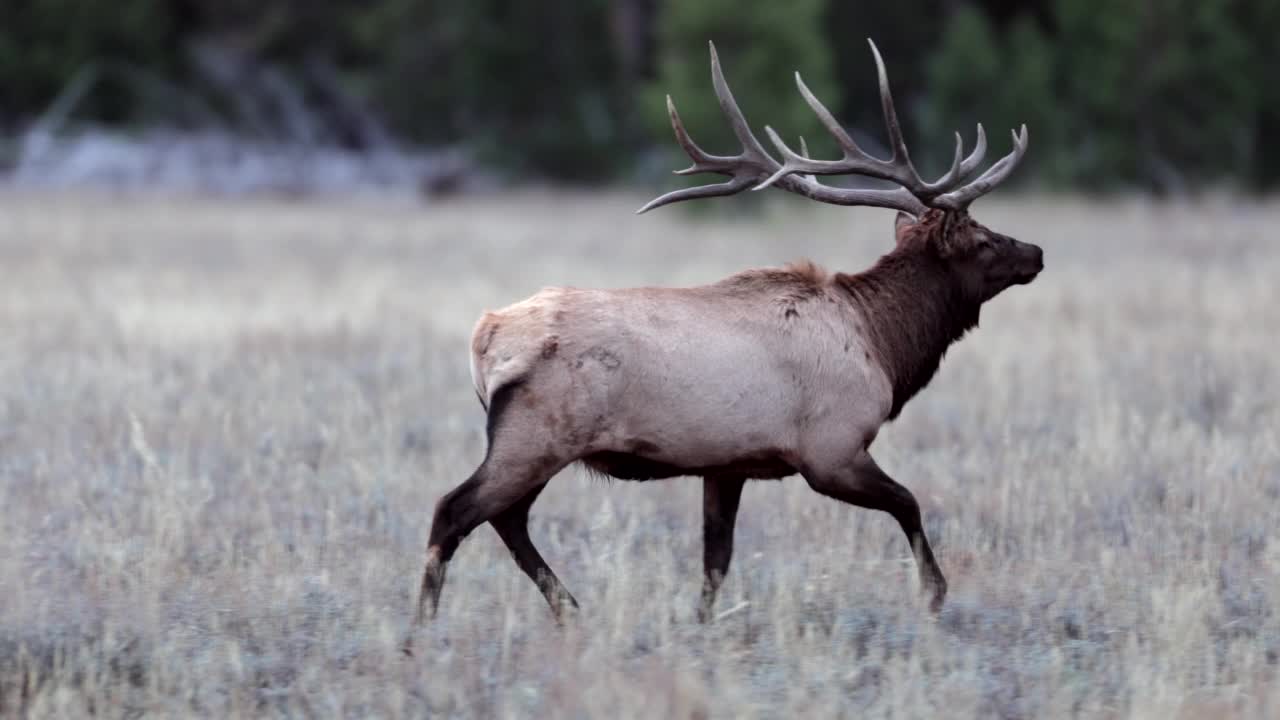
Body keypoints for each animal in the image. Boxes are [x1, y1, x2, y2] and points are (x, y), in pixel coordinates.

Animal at [409, 39, 1039, 632]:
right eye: (982, 238)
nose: (1034, 252)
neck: (884, 344)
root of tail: (486, 333)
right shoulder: (831, 449)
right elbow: (908, 503)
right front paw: (935, 594)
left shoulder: (727, 463)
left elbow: (716, 559)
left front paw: (701, 627)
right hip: (537, 436)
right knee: (455, 510)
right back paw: (423, 629)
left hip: (535, 442)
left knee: (506, 519)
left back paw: (569, 609)